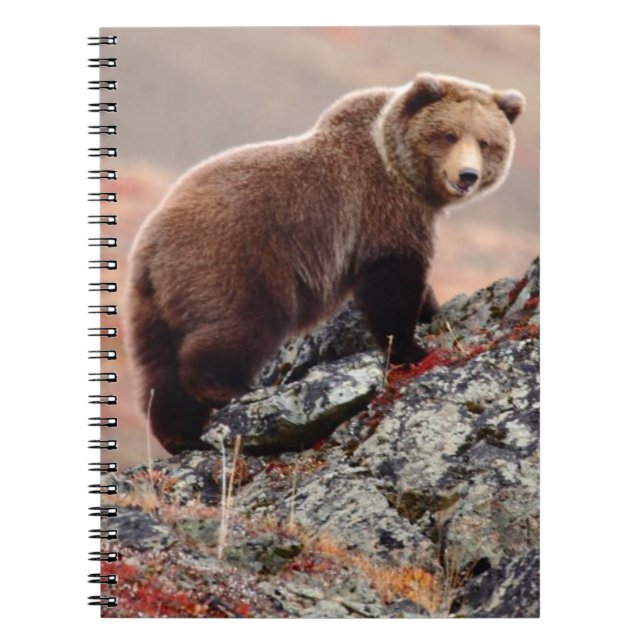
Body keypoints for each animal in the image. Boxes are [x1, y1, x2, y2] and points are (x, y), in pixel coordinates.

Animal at [126, 72, 525, 454]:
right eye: (448, 135)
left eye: (485, 142)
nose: (467, 175)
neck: (403, 171)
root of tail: (151, 247)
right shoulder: (381, 209)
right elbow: (391, 283)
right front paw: (414, 349)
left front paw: (430, 311)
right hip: (235, 263)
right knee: (241, 326)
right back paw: (227, 391)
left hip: (152, 304)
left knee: (159, 369)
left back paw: (180, 435)